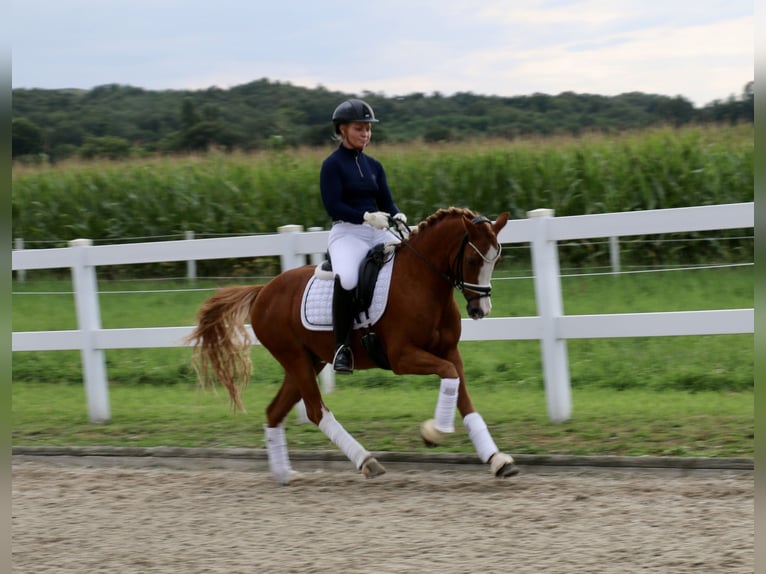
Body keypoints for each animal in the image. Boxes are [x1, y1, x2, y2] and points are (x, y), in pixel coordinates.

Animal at [188, 208, 520, 486]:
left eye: (497, 261)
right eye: (473, 261)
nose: (481, 310)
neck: (422, 281)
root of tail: (263, 290)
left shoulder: (450, 351)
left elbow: (463, 396)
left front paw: (497, 460)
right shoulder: (402, 357)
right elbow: (449, 376)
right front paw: (433, 432)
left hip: (309, 361)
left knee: (274, 411)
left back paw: (285, 475)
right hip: (295, 359)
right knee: (316, 411)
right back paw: (366, 461)